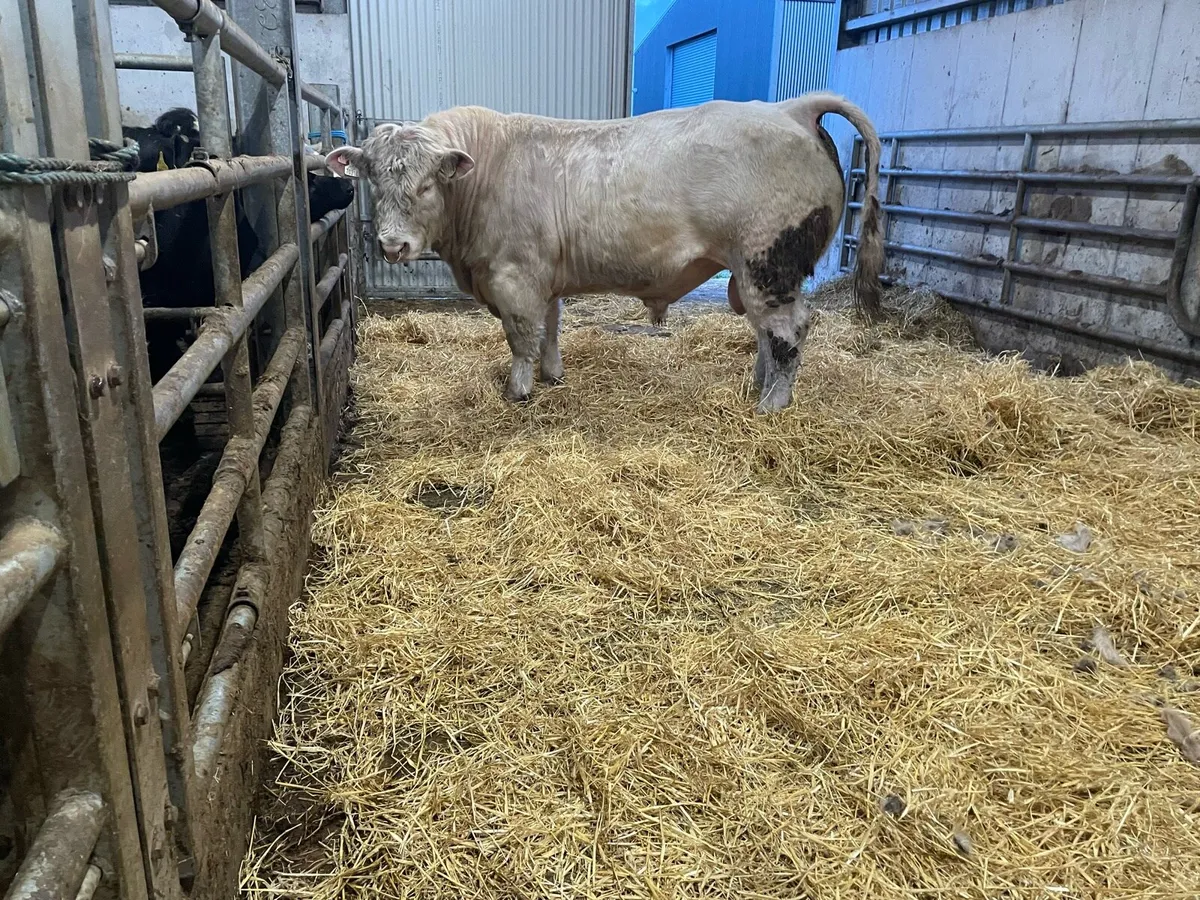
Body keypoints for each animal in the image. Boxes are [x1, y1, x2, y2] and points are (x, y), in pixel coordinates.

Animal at [325, 92, 883, 413]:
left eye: (426, 185)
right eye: (373, 180)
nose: (392, 244)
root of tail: (789, 109)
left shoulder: (514, 277)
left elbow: (521, 337)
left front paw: (517, 390)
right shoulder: (545, 277)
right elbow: (550, 328)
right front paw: (552, 376)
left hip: (770, 261)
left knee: (788, 331)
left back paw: (773, 405)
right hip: (754, 275)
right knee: (766, 334)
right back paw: (757, 388)